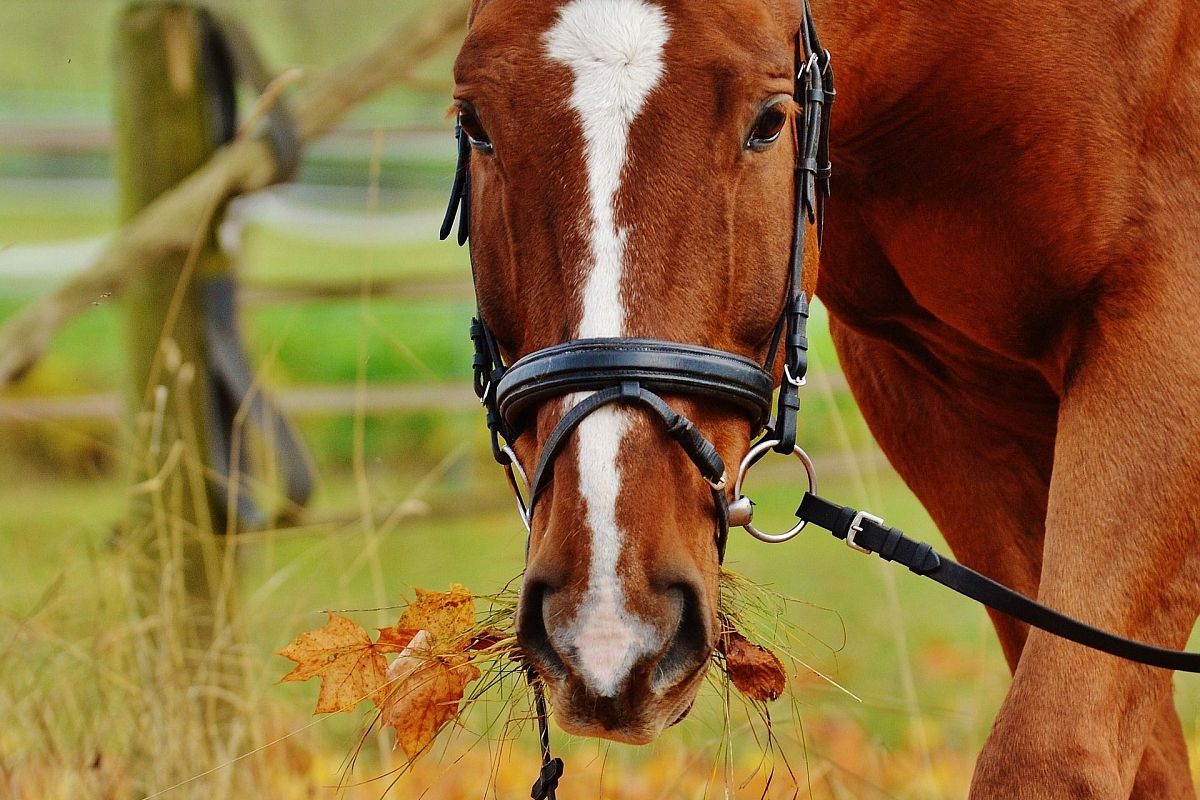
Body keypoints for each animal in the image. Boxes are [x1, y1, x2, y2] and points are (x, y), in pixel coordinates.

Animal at [448, 0, 1200, 796]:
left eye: (770, 122)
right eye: (475, 123)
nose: (608, 628)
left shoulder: (1165, 336)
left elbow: (1050, 753)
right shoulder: (935, 392)